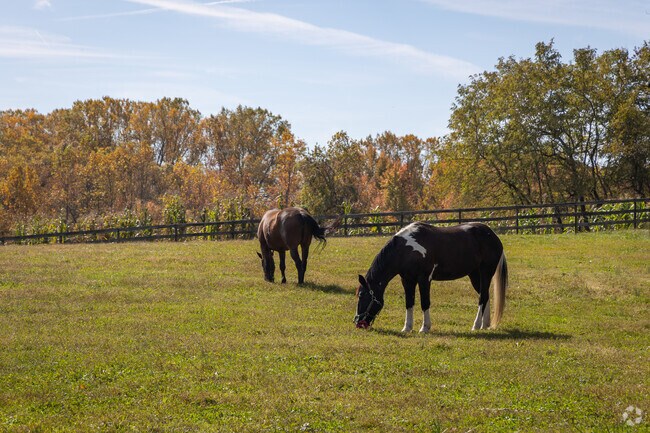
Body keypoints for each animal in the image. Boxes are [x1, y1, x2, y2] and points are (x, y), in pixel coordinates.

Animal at [354, 222, 508, 332]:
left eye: (362, 295)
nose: (357, 322)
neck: (405, 250)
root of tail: (492, 235)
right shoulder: (407, 280)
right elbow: (409, 303)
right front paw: (407, 328)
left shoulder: (424, 279)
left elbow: (425, 303)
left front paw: (425, 328)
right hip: (475, 275)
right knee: (485, 295)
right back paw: (484, 325)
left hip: (486, 272)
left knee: (482, 298)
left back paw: (476, 326)